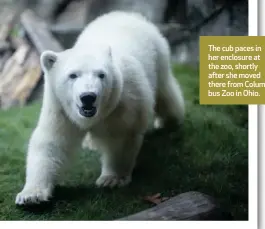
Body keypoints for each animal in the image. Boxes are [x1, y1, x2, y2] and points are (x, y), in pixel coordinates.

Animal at [14, 10, 184, 205]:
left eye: (101, 75)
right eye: (73, 75)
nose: (88, 97)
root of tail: (127, 14)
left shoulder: (125, 100)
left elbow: (121, 136)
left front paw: (112, 179)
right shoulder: (59, 105)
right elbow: (52, 140)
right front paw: (30, 195)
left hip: (158, 56)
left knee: (164, 93)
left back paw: (168, 121)